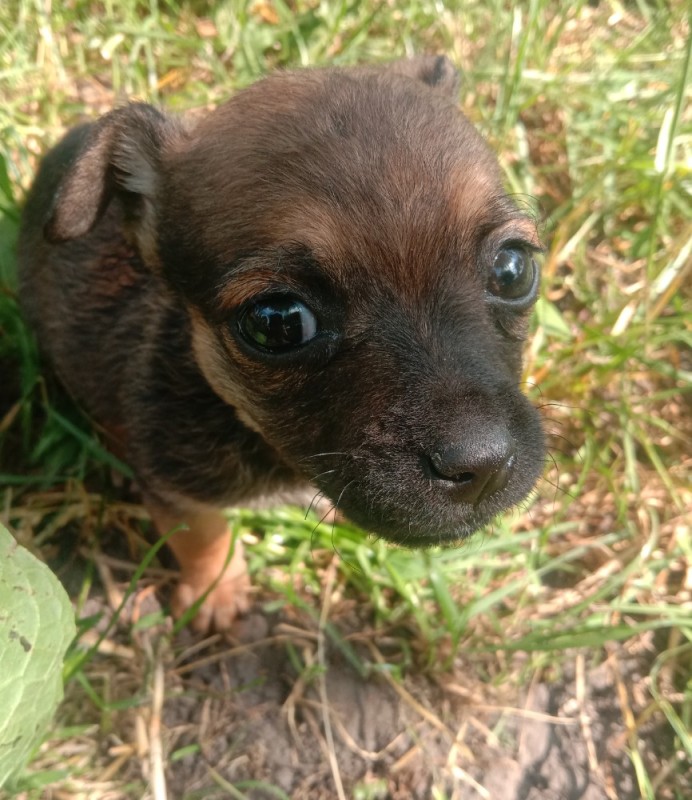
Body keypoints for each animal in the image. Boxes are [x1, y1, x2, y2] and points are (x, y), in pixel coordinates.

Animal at [17, 54, 548, 632]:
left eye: (514, 269)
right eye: (277, 323)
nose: (484, 467)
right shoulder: (176, 488)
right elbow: (203, 536)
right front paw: (216, 592)